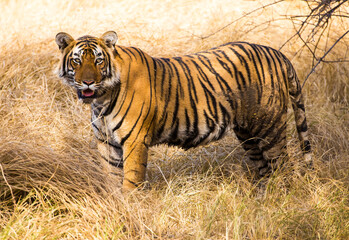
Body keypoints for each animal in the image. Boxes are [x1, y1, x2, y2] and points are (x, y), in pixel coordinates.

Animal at [55, 30, 312, 191]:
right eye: (77, 61)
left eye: (98, 61)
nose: (88, 83)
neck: (102, 100)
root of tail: (277, 53)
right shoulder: (106, 142)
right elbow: (112, 180)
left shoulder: (135, 141)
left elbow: (131, 180)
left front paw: (131, 208)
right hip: (248, 134)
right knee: (265, 170)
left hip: (270, 127)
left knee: (284, 166)